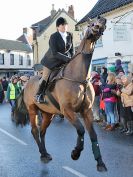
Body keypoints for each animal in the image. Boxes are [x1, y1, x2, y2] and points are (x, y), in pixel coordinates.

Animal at [14, 16, 107, 171]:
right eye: (91, 23)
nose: (103, 20)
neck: (78, 77)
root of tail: (26, 83)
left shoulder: (86, 111)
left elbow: (92, 135)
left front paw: (100, 162)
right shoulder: (67, 110)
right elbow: (81, 130)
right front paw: (75, 153)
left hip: (48, 114)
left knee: (42, 131)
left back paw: (46, 153)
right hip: (33, 109)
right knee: (34, 131)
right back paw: (43, 154)